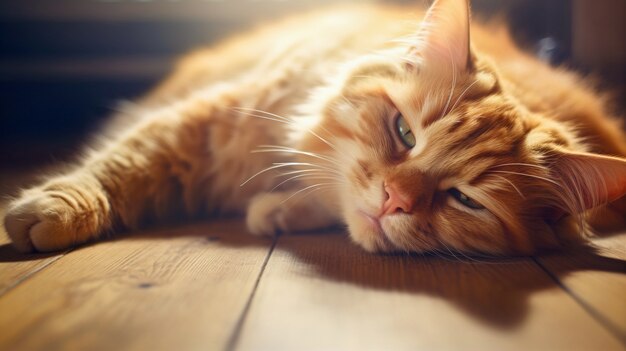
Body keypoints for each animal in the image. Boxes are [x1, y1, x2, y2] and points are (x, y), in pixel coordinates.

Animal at [4, 0, 624, 256]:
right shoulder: (209, 125)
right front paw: (56, 210)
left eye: (465, 200)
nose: (394, 199)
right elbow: (120, 166)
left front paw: (278, 212)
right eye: (404, 133)